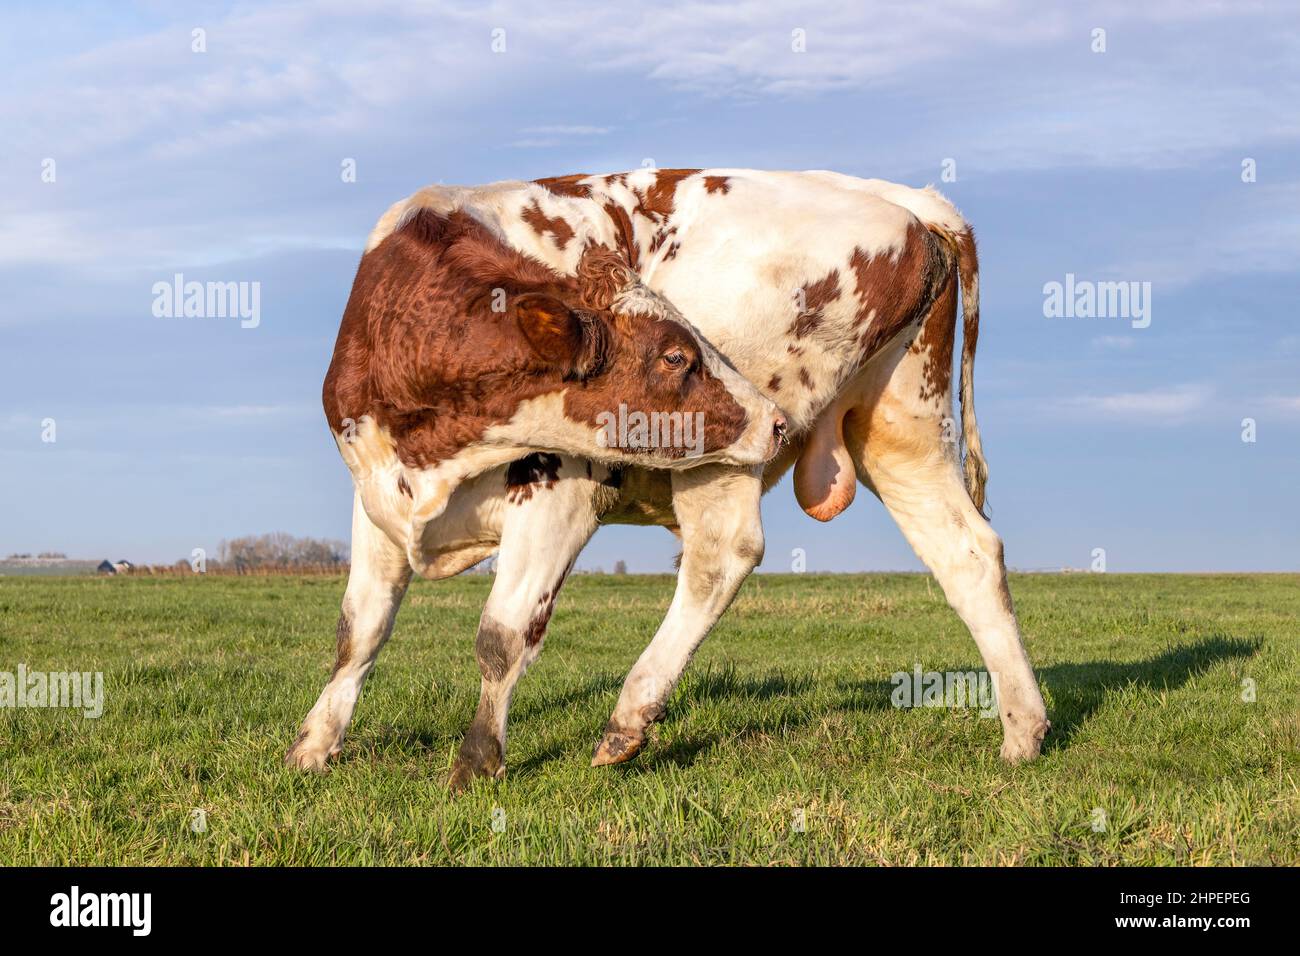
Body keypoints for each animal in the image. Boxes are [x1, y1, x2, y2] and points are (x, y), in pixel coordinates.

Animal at [286, 169, 1051, 790]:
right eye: (677, 357)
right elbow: (360, 628)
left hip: (727, 455)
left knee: (722, 557)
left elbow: (502, 635)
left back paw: (629, 715)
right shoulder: (376, 495)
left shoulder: (562, 487)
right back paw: (1024, 729)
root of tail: (906, 200)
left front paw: (477, 761)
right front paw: (314, 745)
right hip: (902, 427)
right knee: (968, 553)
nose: (775, 422)